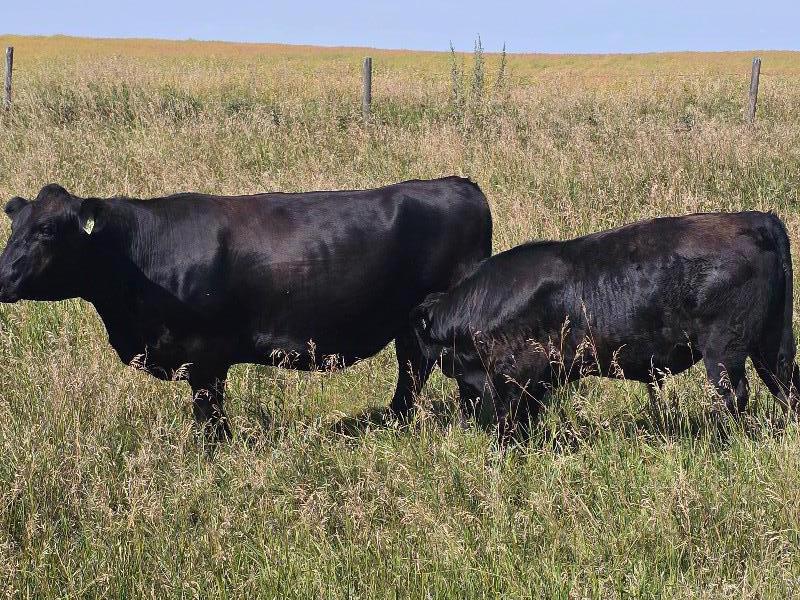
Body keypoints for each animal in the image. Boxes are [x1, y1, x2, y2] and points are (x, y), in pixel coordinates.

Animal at [0, 177, 492, 440]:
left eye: (47, 229)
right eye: (15, 225)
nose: (2, 277)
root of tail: (459, 184)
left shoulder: (205, 356)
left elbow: (209, 418)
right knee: (412, 370)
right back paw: (395, 422)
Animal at [412, 211, 799, 443]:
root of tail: (756, 219)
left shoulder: (516, 375)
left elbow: (510, 419)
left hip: (724, 349)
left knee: (734, 394)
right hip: (769, 344)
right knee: (786, 386)